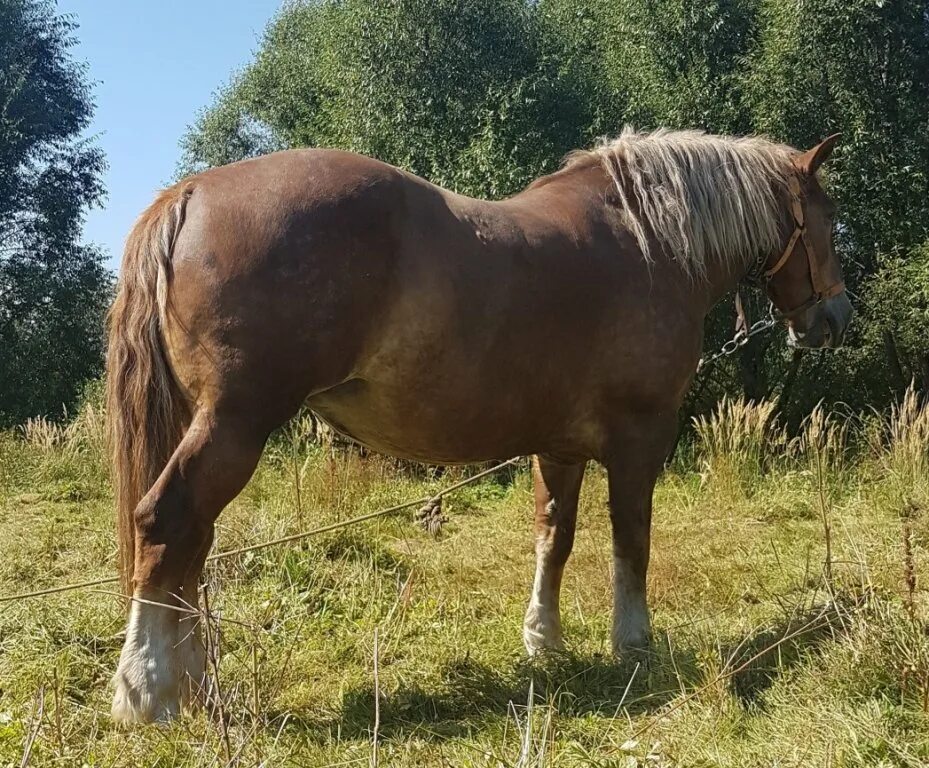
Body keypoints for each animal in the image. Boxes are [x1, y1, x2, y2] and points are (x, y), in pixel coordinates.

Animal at [107, 126, 848, 720]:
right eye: (827, 220)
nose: (834, 317)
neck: (648, 242)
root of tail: (191, 194)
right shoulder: (641, 439)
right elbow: (630, 542)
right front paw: (633, 643)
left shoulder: (560, 449)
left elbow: (555, 539)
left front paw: (543, 640)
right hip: (235, 424)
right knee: (167, 523)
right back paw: (148, 691)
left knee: (193, 543)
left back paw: (194, 684)